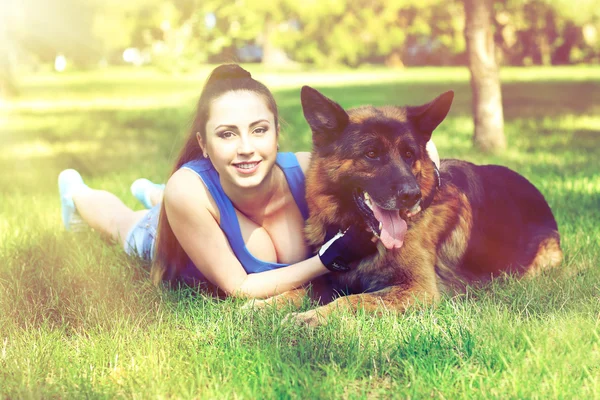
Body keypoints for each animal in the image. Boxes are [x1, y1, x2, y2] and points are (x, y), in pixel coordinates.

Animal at [248, 86, 564, 324]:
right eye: (371, 154)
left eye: (410, 154)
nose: (412, 195)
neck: (358, 233)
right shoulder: (333, 277)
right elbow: (304, 286)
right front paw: (266, 304)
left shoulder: (417, 289)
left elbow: (353, 300)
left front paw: (312, 316)